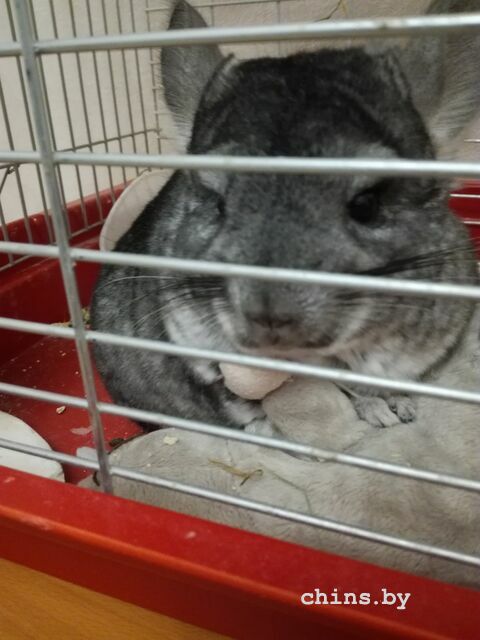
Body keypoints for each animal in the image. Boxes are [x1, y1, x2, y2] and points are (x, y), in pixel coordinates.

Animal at [91, 0, 480, 431]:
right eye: (217, 204)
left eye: (367, 204)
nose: (269, 316)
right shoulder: (199, 355)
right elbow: (247, 401)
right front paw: (375, 416)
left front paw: (398, 408)